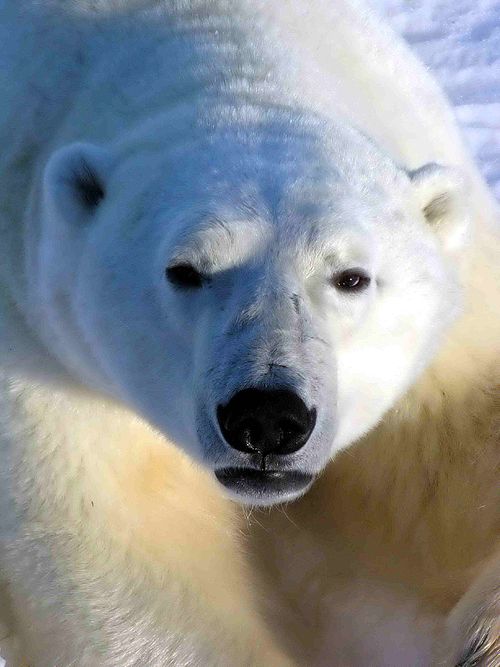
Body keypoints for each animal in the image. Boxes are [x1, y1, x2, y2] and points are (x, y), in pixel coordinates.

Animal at [0, 1, 498, 667]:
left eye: (351, 277)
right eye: (186, 270)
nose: (267, 417)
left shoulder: (462, 318)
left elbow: (459, 442)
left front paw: (483, 639)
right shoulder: (48, 352)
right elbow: (125, 557)